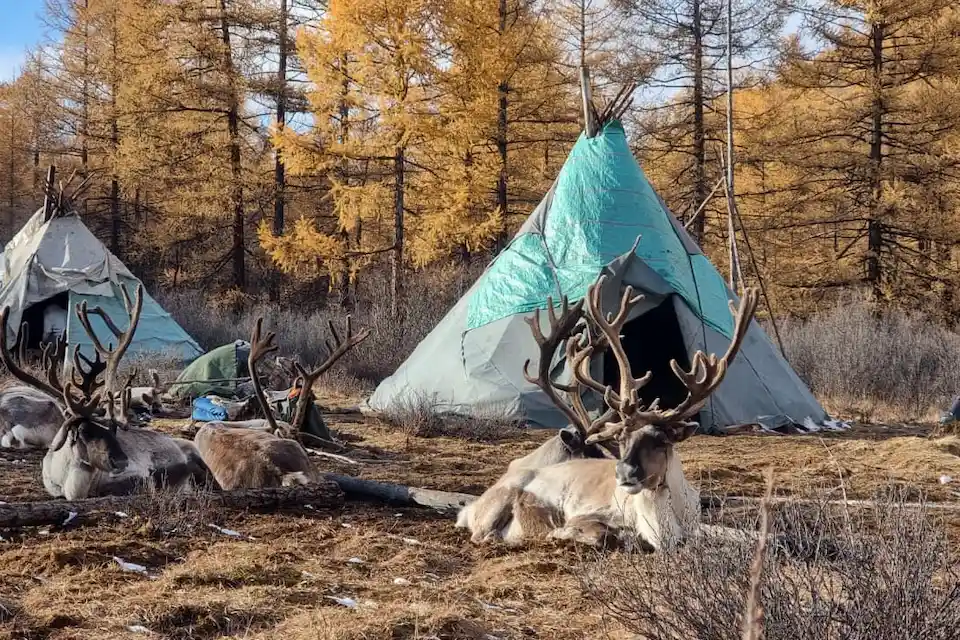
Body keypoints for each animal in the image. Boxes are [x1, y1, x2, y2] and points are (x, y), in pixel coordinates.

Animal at [1, 284, 217, 499]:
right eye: (84, 431)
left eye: (114, 429)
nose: (121, 461)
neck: (70, 486)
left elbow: (139, 482)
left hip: (197, 456)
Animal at [456, 273, 759, 552]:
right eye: (621, 439)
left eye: (661, 440)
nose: (623, 472)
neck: (663, 530)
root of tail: (470, 509)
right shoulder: (588, 514)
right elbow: (605, 533)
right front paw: (562, 534)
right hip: (501, 500)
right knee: (482, 535)